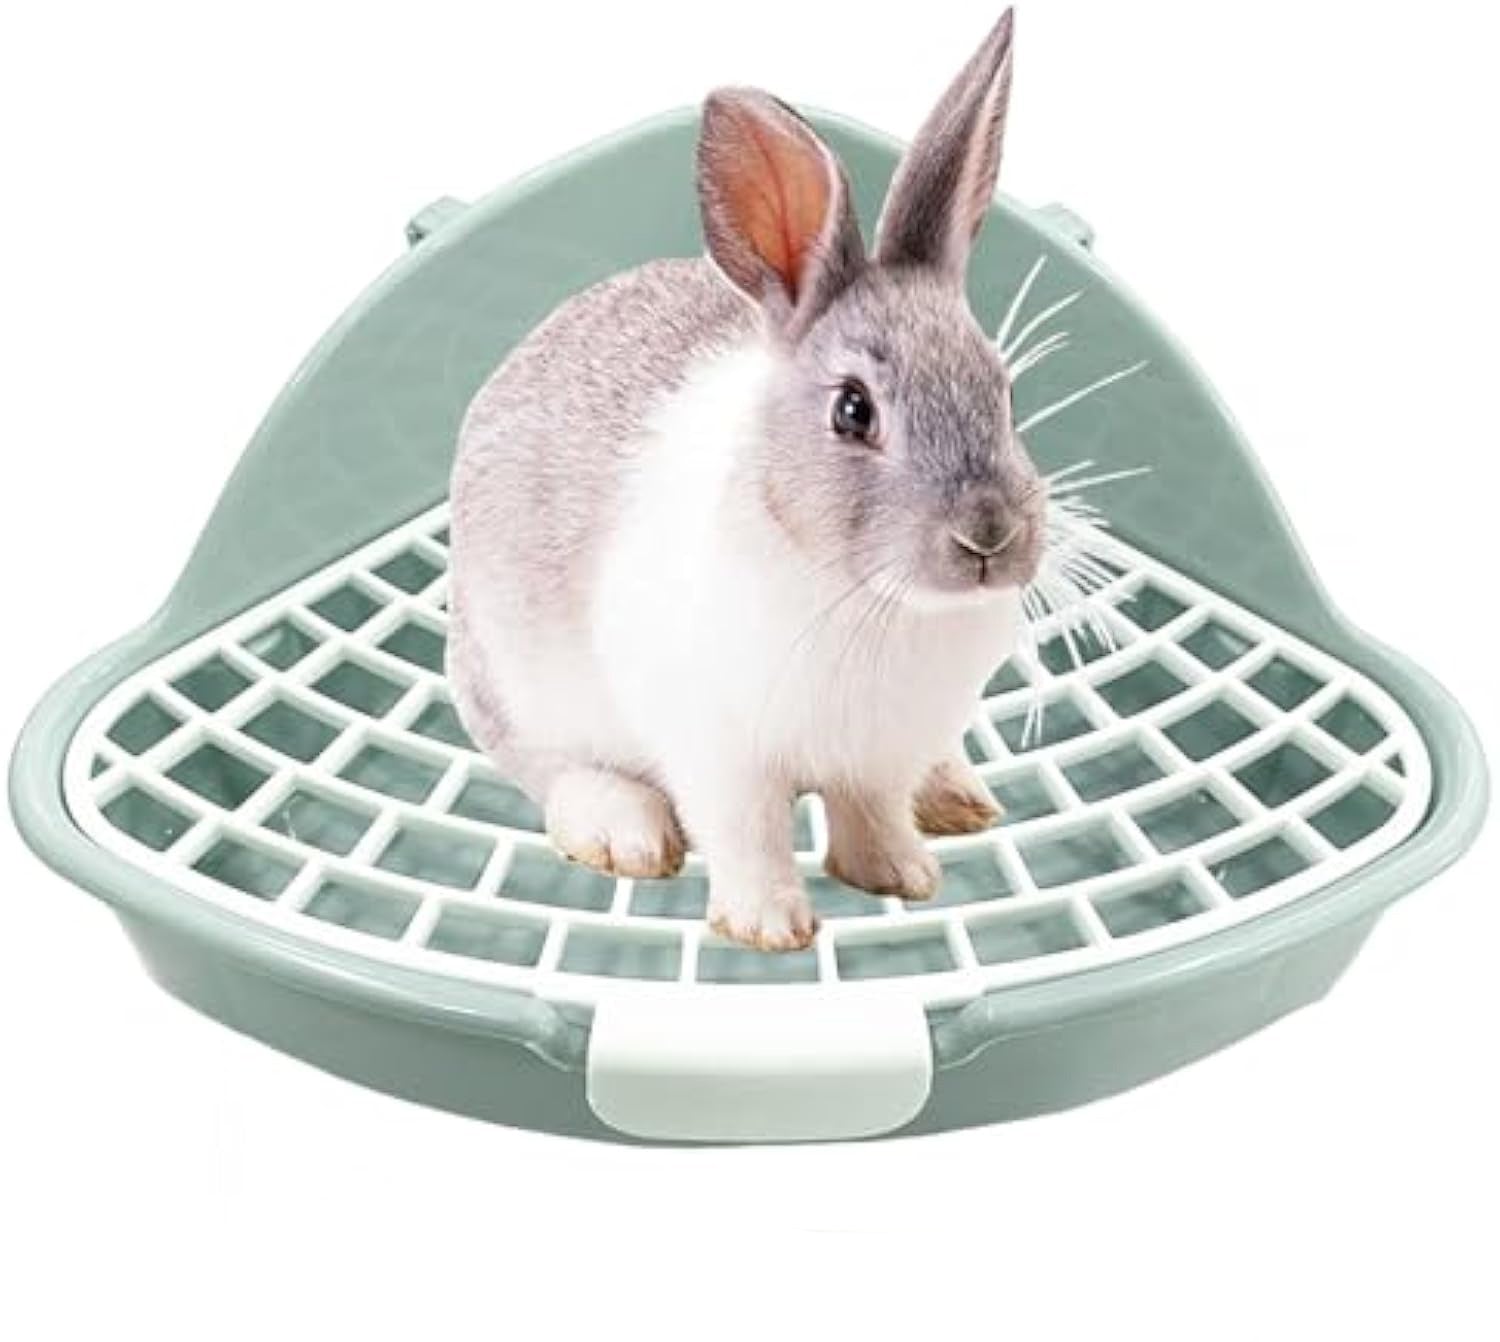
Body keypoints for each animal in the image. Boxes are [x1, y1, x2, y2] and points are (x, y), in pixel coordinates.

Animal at [448, 8, 1044, 951]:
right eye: (852, 411)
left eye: (1005, 391)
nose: (989, 536)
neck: (869, 598)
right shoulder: (719, 753)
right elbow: (749, 833)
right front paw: (768, 927)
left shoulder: (879, 754)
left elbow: (872, 813)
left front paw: (902, 877)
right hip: (515, 682)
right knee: (546, 766)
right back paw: (622, 830)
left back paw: (956, 795)